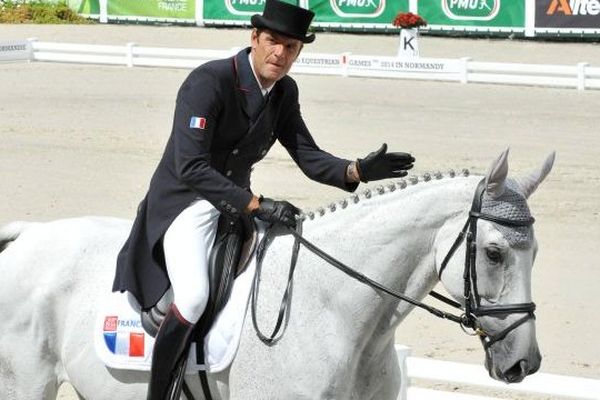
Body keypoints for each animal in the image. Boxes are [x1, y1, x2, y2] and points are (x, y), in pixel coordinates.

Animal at [0, 148, 552, 398]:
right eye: (495, 254)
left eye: (536, 255)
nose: (523, 363)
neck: (338, 314)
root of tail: (27, 236)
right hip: (25, 383)